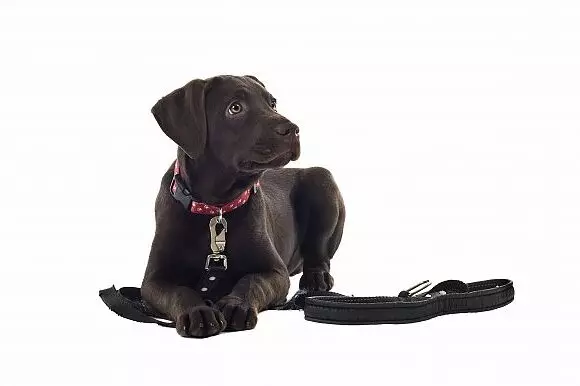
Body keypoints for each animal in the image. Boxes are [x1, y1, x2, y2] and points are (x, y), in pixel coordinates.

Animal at [142, 76, 344, 338]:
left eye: (272, 103)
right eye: (235, 108)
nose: (293, 129)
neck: (215, 206)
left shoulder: (274, 272)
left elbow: (252, 282)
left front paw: (236, 305)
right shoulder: (153, 281)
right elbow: (179, 291)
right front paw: (199, 311)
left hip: (322, 180)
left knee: (320, 254)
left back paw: (316, 278)